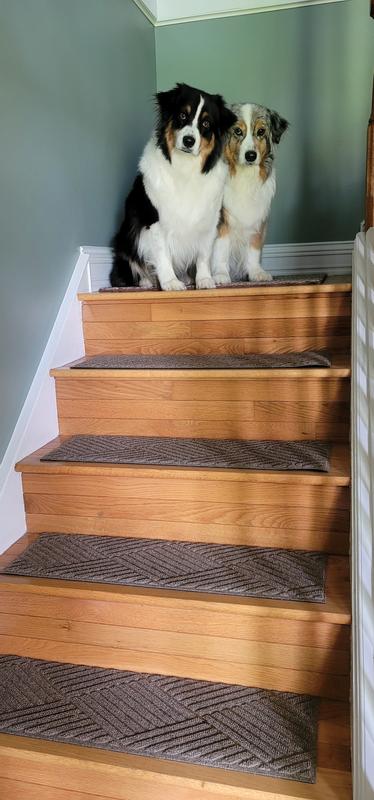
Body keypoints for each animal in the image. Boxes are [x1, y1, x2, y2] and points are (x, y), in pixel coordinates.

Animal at [109, 83, 235, 290]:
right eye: (182, 115)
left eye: (206, 124)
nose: (189, 141)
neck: (185, 169)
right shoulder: (154, 221)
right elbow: (163, 255)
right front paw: (170, 282)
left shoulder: (209, 220)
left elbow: (203, 254)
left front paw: (204, 279)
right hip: (125, 239)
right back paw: (146, 281)